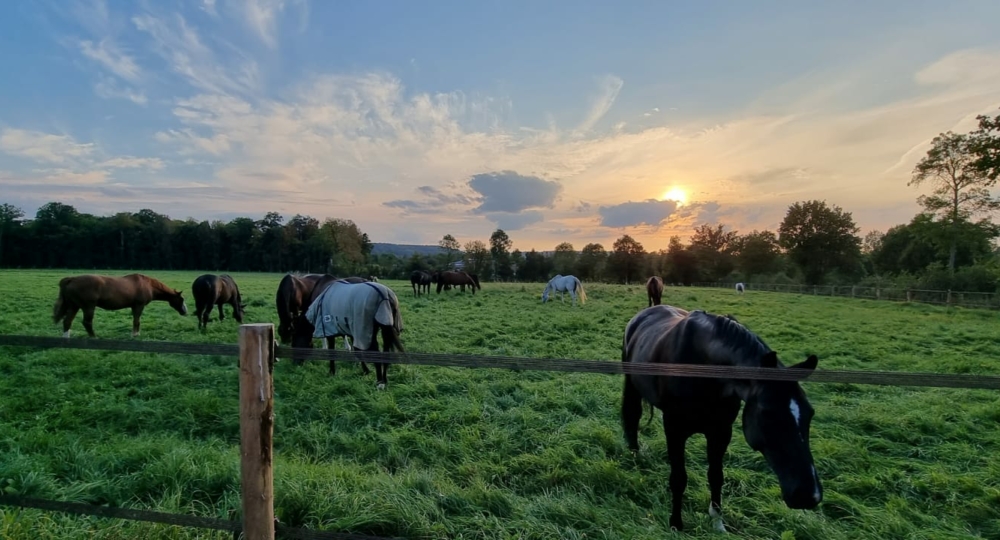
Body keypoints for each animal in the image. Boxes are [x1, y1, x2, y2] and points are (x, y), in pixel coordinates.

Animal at [52, 274, 188, 338]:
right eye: (181, 299)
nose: (185, 312)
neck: (147, 285)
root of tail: (72, 279)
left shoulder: (134, 306)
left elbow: (135, 320)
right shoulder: (138, 306)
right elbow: (137, 321)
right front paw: (135, 334)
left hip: (74, 306)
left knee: (67, 321)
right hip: (88, 307)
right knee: (87, 322)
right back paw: (94, 337)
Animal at [620, 304, 824, 532]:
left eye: (809, 413)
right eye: (767, 413)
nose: (810, 495)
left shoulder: (721, 432)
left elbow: (716, 476)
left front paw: (718, 523)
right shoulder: (674, 429)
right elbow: (679, 478)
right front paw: (676, 524)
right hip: (632, 385)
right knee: (633, 415)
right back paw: (635, 455)